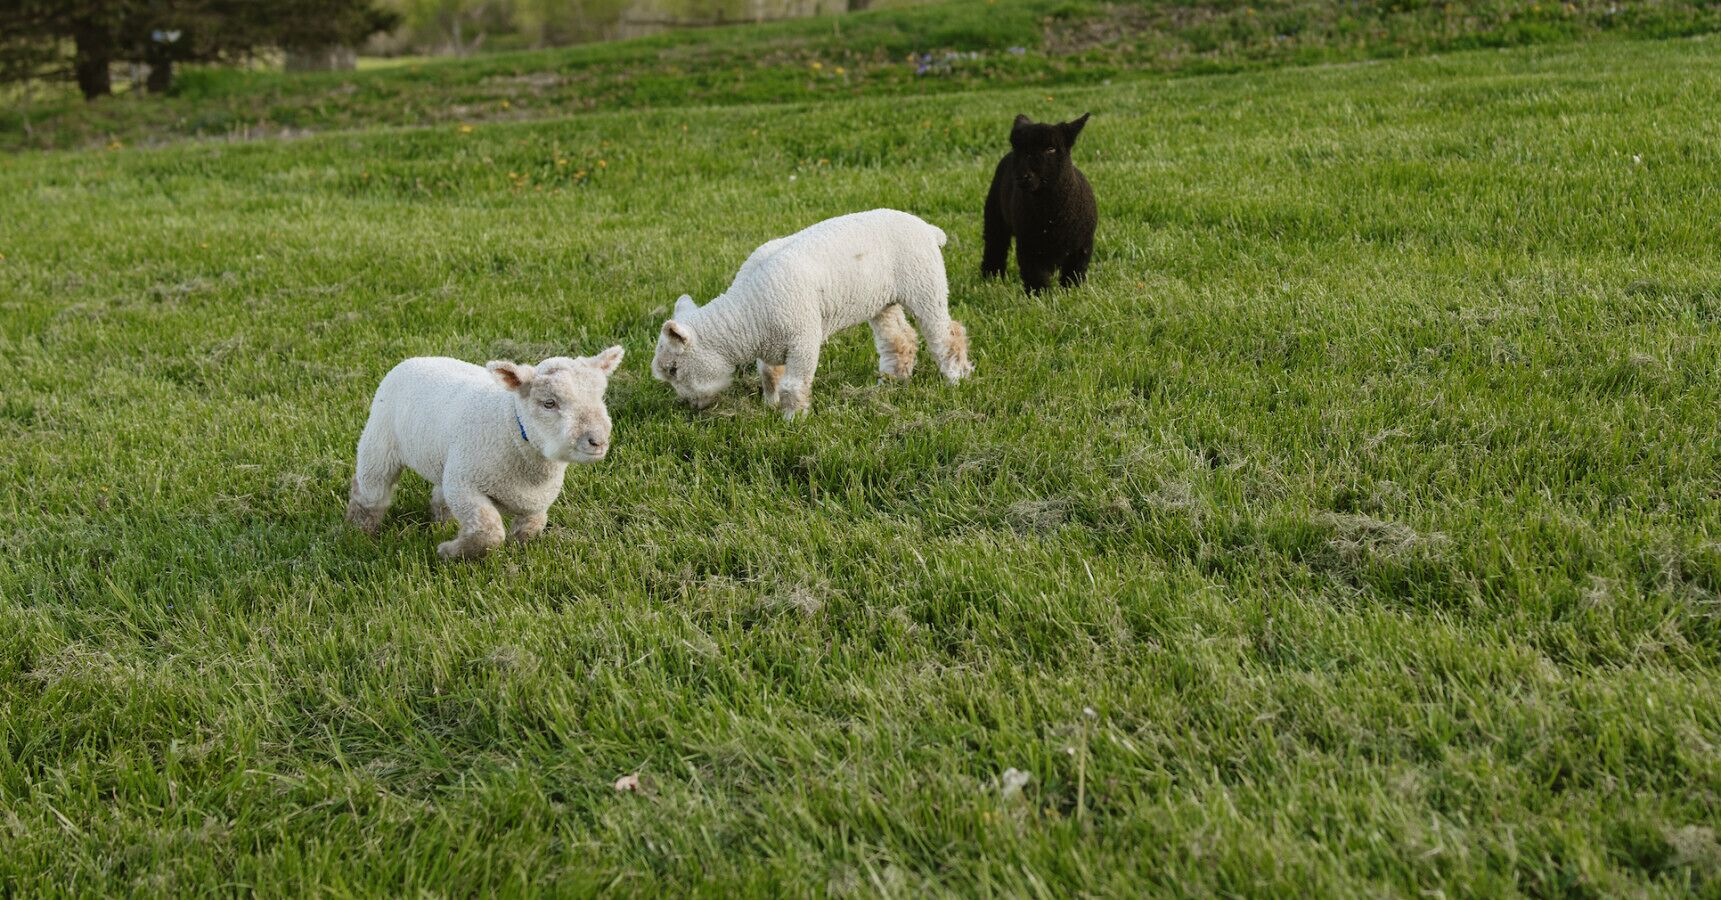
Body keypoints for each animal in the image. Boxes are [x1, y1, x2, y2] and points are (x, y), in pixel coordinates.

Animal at [346, 347, 624, 560]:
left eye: (600, 397)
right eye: (549, 403)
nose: (597, 441)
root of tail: (415, 359)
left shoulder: (536, 502)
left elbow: (529, 529)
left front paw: (513, 552)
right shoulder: (466, 485)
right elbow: (489, 532)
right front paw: (451, 552)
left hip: (447, 461)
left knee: (440, 494)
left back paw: (442, 523)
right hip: (379, 442)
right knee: (370, 493)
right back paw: (360, 531)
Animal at [651, 208, 972, 419]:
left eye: (673, 369)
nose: (690, 406)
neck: (748, 313)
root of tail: (928, 229)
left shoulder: (803, 338)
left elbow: (794, 385)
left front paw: (792, 420)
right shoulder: (770, 344)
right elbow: (769, 375)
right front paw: (770, 405)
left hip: (925, 283)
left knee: (946, 334)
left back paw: (955, 376)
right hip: (883, 300)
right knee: (899, 339)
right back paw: (891, 383)